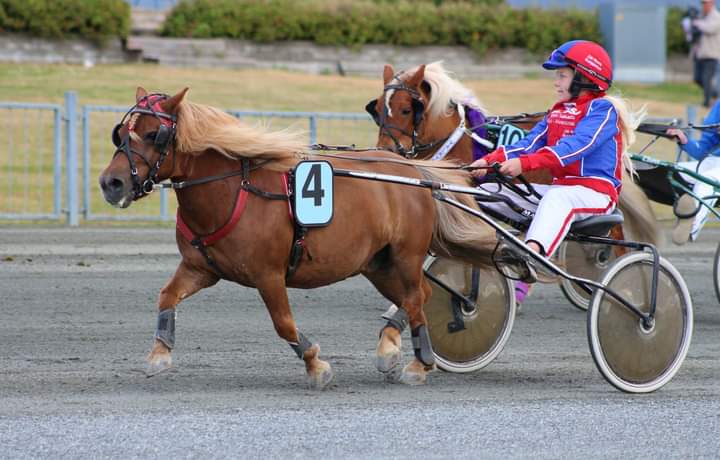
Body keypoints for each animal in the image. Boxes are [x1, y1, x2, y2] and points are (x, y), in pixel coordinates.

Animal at [98, 87, 498, 388]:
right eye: (121, 133)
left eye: (155, 134)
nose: (111, 183)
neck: (233, 190)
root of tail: (415, 172)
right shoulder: (201, 268)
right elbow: (167, 296)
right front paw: (158, 355)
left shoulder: (269, 275)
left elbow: (284, 324)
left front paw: (316, 365)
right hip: (377, 263)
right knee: (421, 295)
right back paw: (390, 350)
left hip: (406, 256)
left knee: (416, 299)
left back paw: (420, 363)